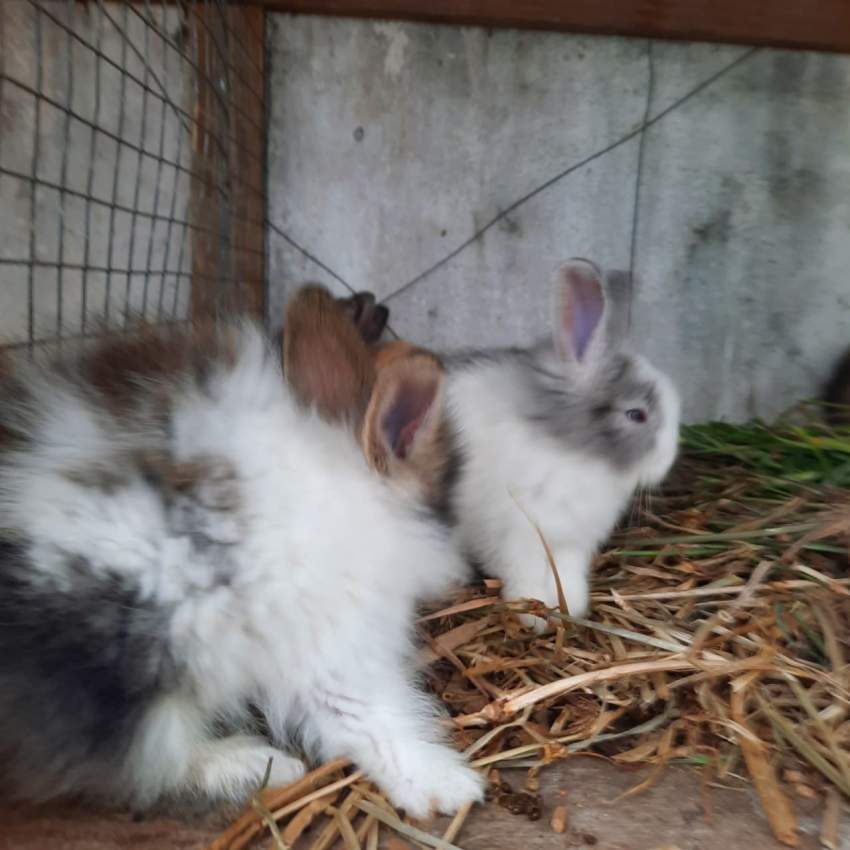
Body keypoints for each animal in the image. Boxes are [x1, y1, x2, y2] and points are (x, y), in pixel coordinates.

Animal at [0, 309, 481, 816]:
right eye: (447, 504)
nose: (463, 571)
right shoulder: (335, 643)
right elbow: (376, 717)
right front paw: (450, 786)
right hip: (137, 659)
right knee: (145, 761)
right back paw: (257, 765)